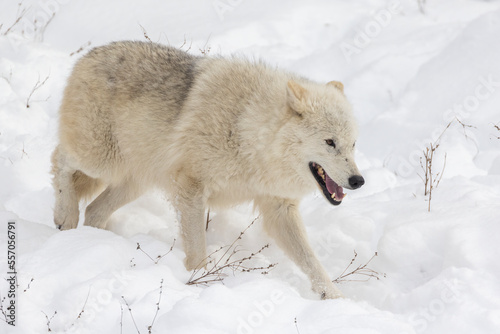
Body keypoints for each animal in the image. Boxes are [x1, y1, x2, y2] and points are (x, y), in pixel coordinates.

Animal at [51, 40, 364, 298]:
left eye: (353, 144)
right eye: (330, 142)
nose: (358, 180)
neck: (248, 129)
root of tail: (87, 55)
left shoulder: (279, 208)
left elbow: (312, 261)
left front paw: (334, 298)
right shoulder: (191, 187)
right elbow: (197, 247)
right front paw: (199, 280)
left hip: (133, 182)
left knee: (94, 210)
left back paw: (95, 241)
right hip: (100, 161)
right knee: (59, 159)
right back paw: (65, 217)